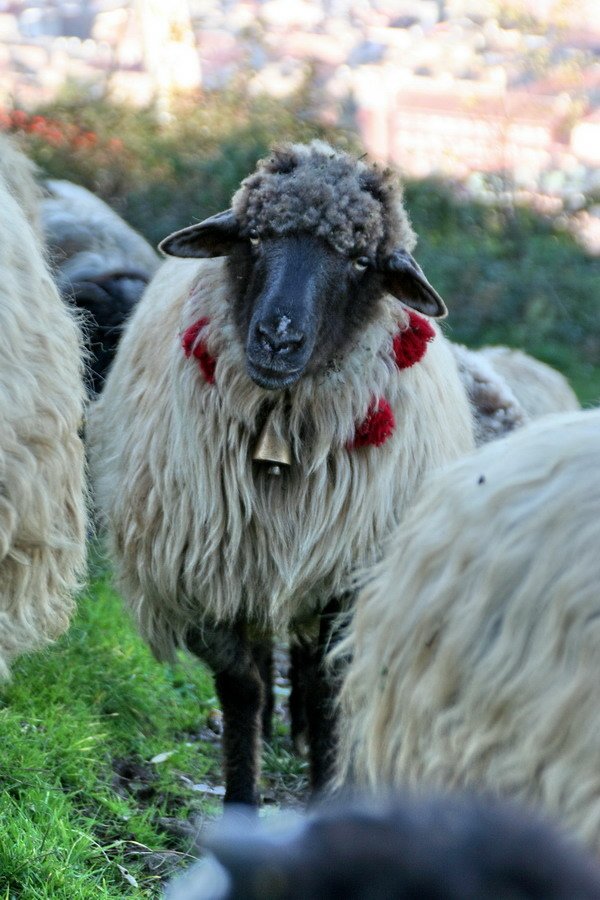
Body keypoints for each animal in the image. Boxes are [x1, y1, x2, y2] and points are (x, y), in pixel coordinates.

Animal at [89, 142, 476, 808]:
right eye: (256, 236)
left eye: (359, 259)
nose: (278, 338)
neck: (283, 421)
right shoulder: (202, 569)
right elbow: (240, 685)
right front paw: (243, 796)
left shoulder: (348, 573)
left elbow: (325, 690)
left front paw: (324, 789)